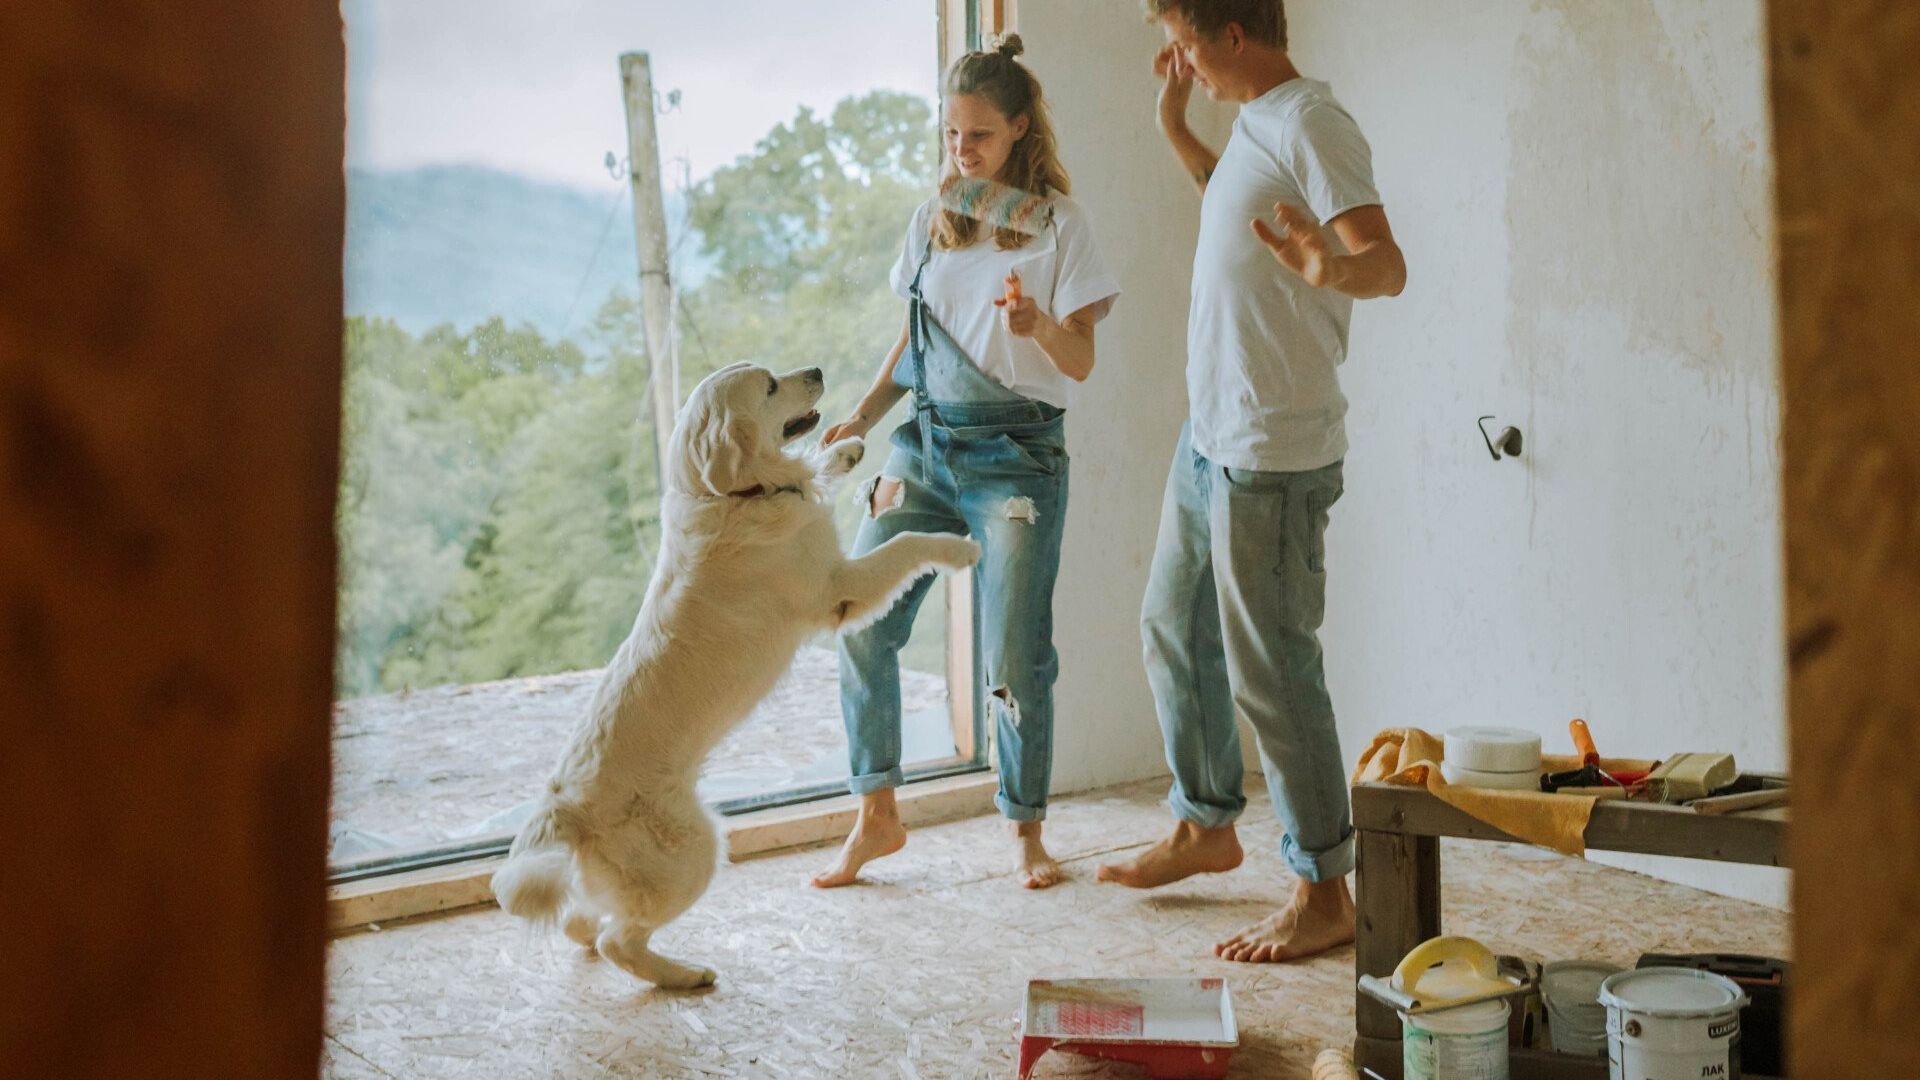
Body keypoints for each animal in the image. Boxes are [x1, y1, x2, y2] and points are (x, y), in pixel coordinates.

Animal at [495, 359, 975, 983]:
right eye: (769, 385)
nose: (816, 368)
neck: (730, 494)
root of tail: (562, 811)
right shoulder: (838, 587)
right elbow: (908, 542)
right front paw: (960, 550)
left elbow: (817, 470)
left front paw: (843, 449)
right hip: (695, 850)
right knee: (615, 940)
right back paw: (685, 976)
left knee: (582, 922)